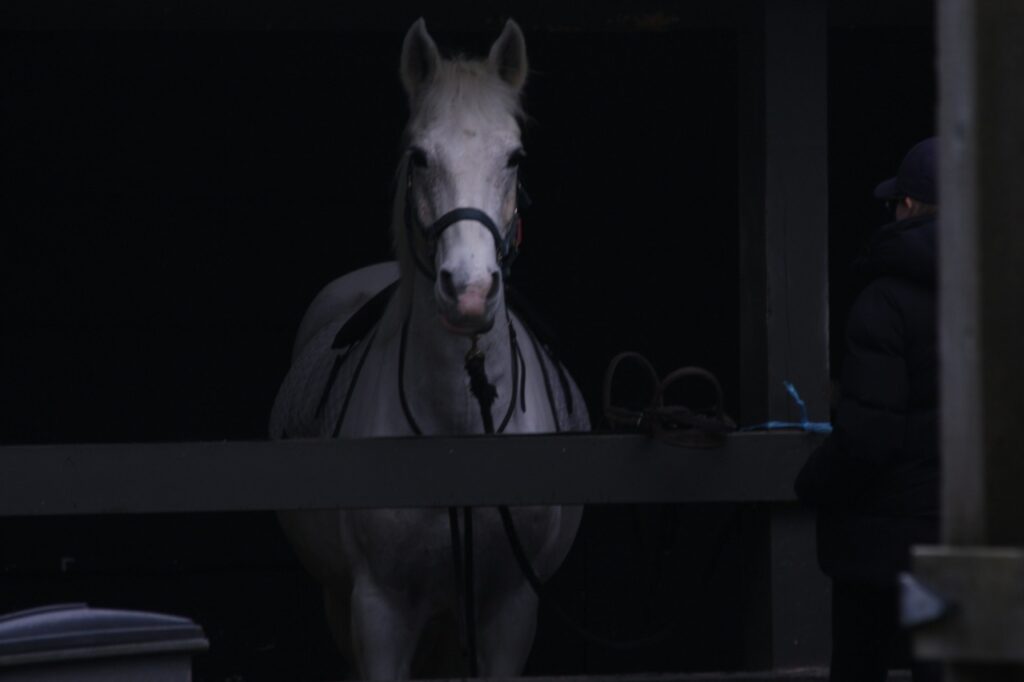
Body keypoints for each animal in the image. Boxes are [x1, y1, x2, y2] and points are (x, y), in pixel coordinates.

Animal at [269, 18, 589, 680]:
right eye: (419, 156)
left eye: (514, 157)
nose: (468, 292)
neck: (457, 435)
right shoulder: (379, 614)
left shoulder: (510, 613)